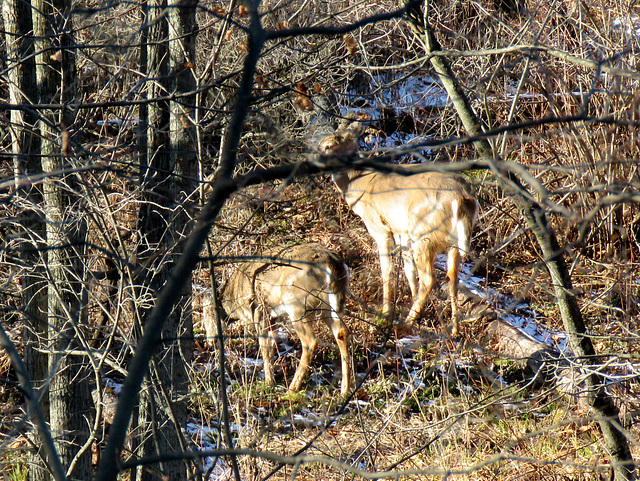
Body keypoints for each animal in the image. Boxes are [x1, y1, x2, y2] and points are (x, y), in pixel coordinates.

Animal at [215, 244, 350, 394]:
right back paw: (344, 390)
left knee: (310, 342)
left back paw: (292, 389)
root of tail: (331, 264)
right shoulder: (273, 317)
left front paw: (269, 383)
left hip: (298, 304)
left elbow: (264, 347)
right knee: (341, 332)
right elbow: (271, 346)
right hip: (328, 305)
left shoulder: (260, 310)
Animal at [318, 122, 476, 336]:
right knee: (453, 278)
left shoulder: (380, 227)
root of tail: (460, 197)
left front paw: (385, 312)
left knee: (429, 279)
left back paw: (406, 323)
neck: (358, 184)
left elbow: (387, 269)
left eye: (330, 145)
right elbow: (409, 271)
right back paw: (454, 329)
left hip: (423, 232)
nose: (316, 159)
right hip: (451, 242)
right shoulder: (402, 233)